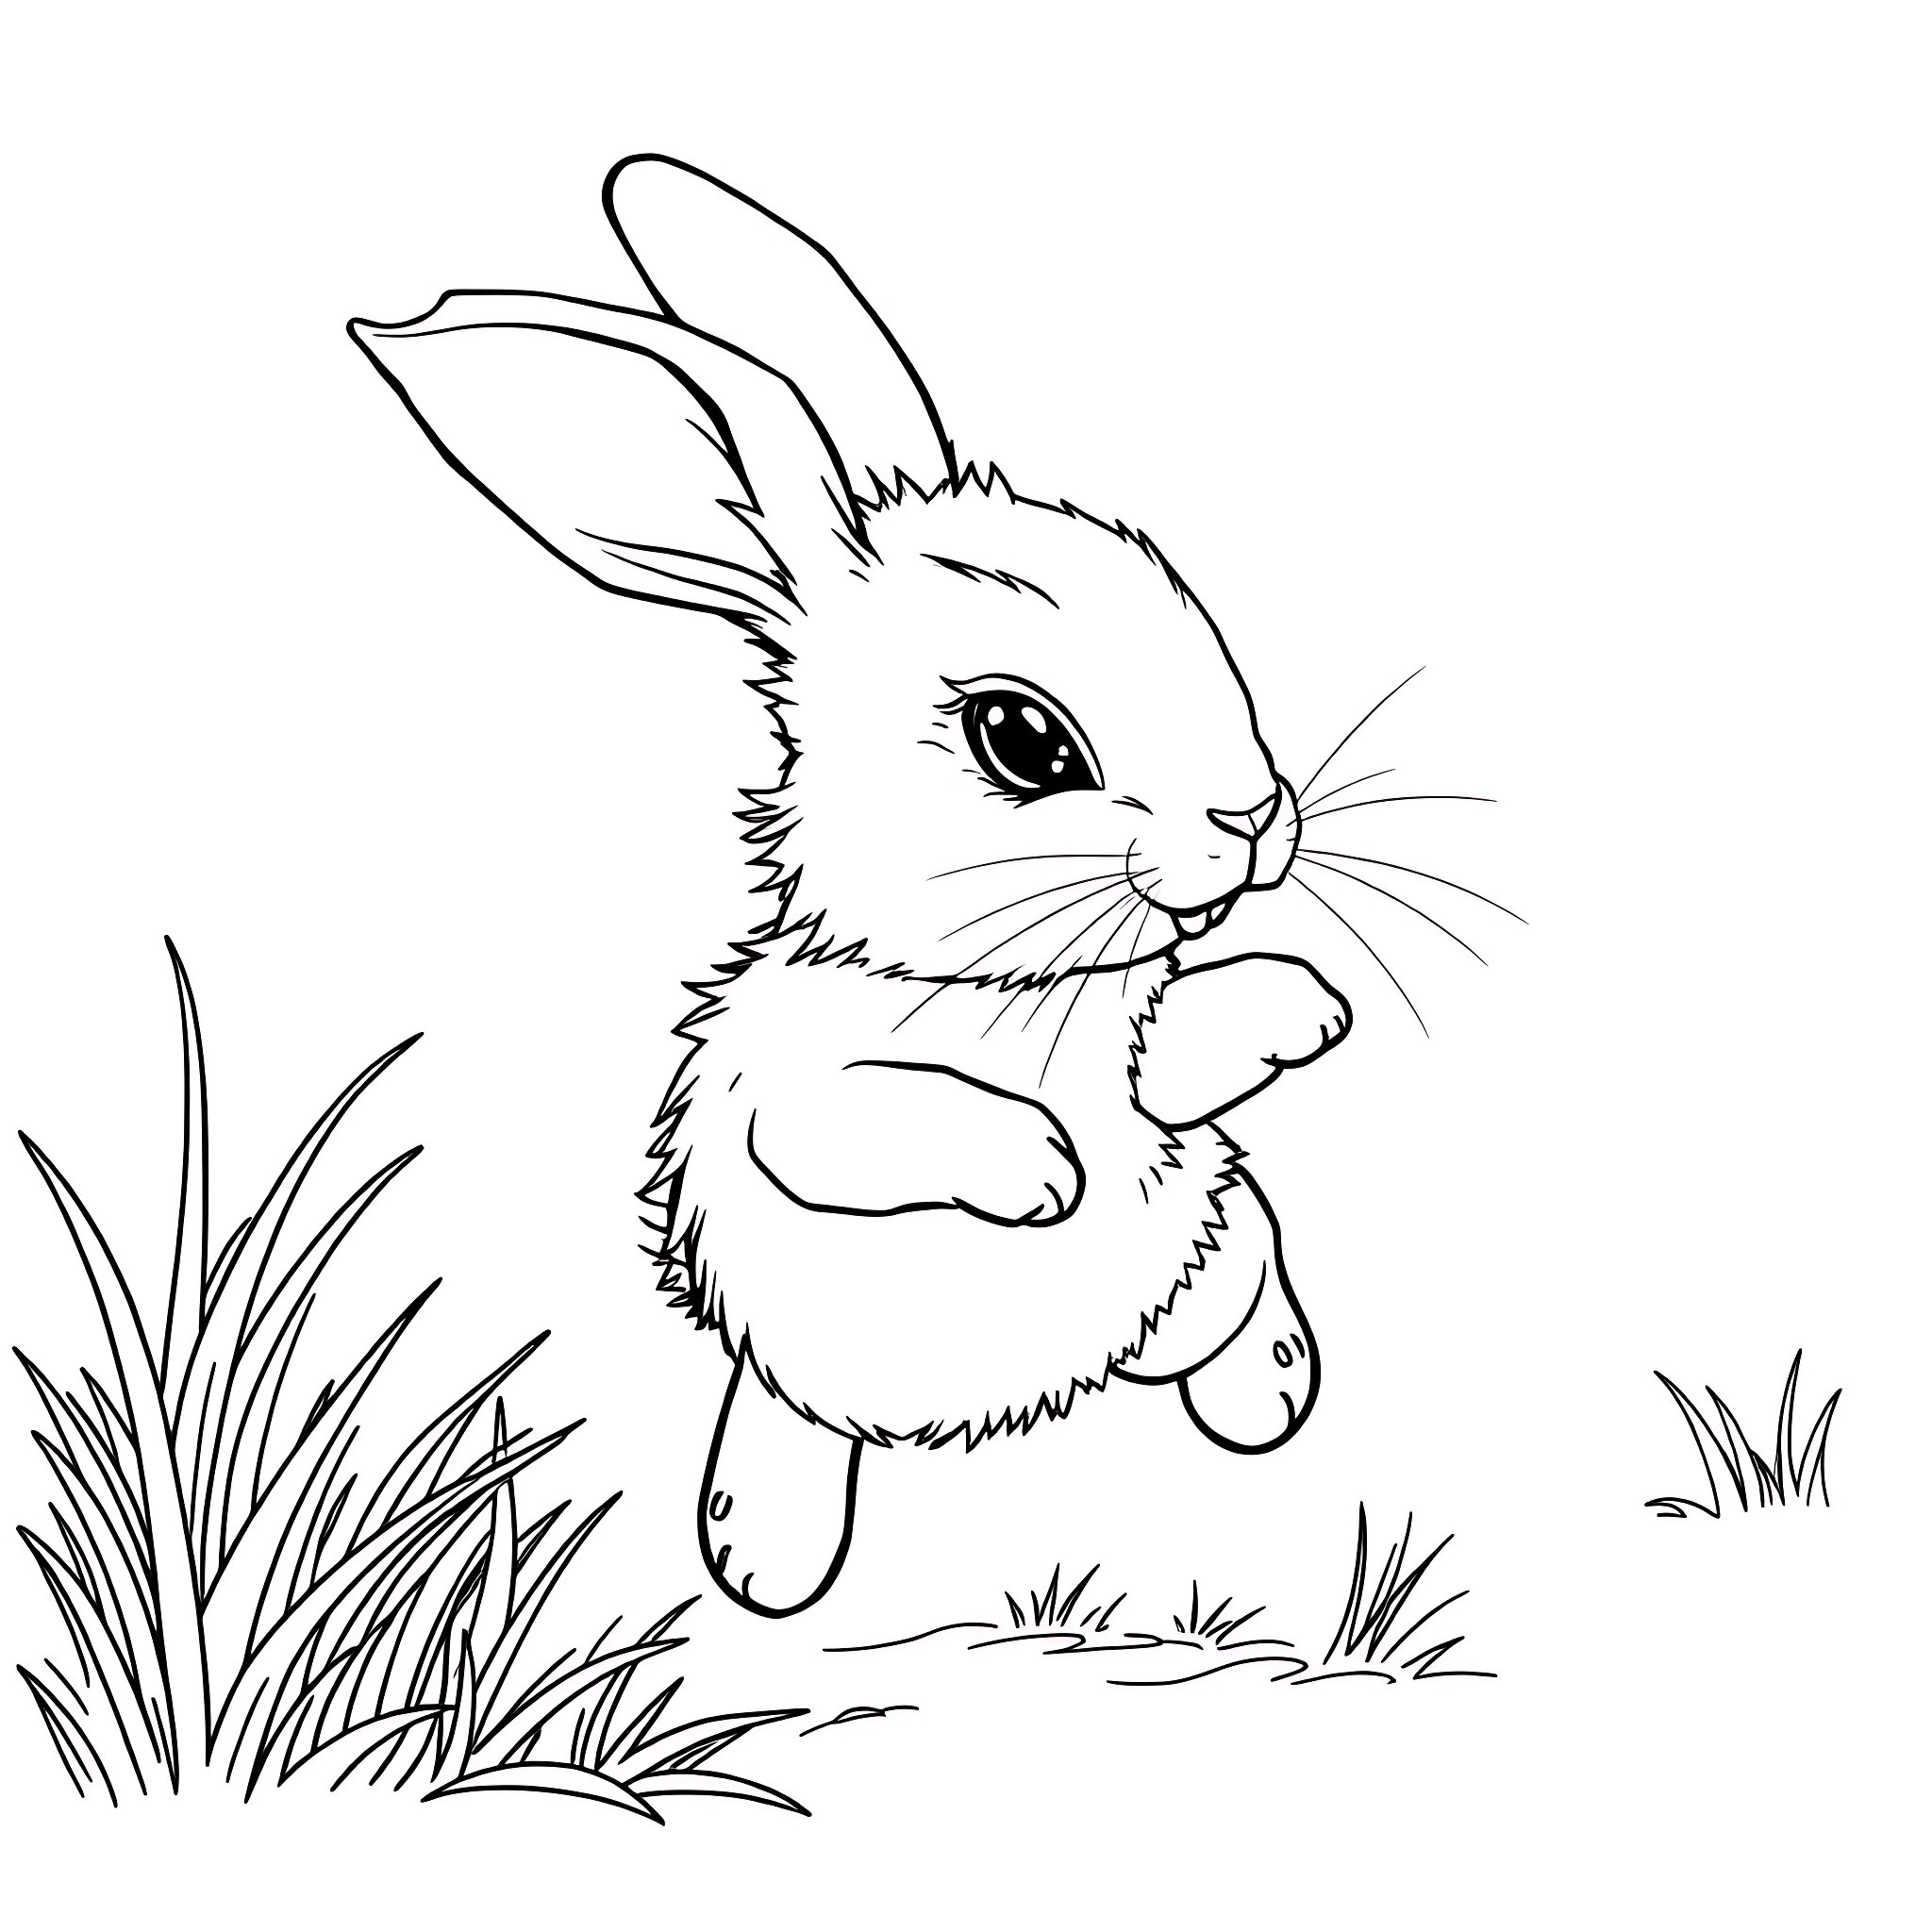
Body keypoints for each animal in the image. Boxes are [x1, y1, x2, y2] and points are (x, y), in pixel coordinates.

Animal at [351, 155, 1352, 1618]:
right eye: (1022, 739)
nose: (1254, 817)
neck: (1000, 989)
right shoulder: (783, 1098)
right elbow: (863, 1121)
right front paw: (1035, 1168)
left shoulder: (1141, 1073)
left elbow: (1172, 1061)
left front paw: (1304, 1004)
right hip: (791, 1359)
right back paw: (759, 1552)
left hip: (1189, 1265)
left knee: (1232, 1282)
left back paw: (1268, 1390)